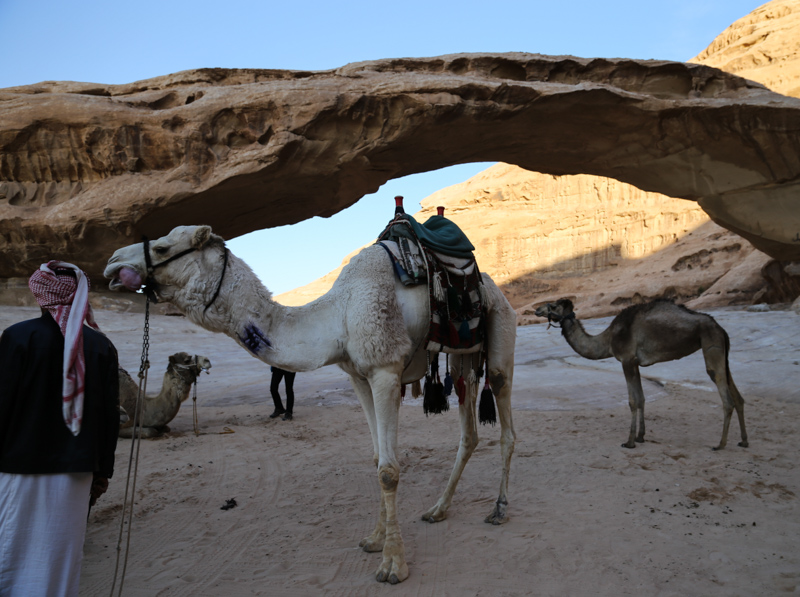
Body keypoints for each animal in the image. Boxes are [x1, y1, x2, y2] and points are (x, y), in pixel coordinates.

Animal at [104, 224, 520, 584]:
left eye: (162, 248)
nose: (112, 261)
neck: (337, 315)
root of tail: (493, 287)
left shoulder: (384, 368)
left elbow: (388, 469)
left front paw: (393, 564)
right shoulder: (358, 375)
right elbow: (376, 459)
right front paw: (374, 539)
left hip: (502, 326)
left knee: (506, 421)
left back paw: (499, 510)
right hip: (463, 359)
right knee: (468, 429)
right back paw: (438, 510)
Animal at [536, 300, 748, 450]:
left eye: (553, 305)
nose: (537, 310)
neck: (608, 339)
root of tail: (721, 329)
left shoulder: (626, 359)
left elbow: (632, 401)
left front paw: (629, 442)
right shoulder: (635, 363)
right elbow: (641, 398)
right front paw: (640, 436)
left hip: (711, 345)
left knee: (725, 396)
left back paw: (720, 444)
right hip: (722, 352)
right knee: (738, 396)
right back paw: (744, 441)